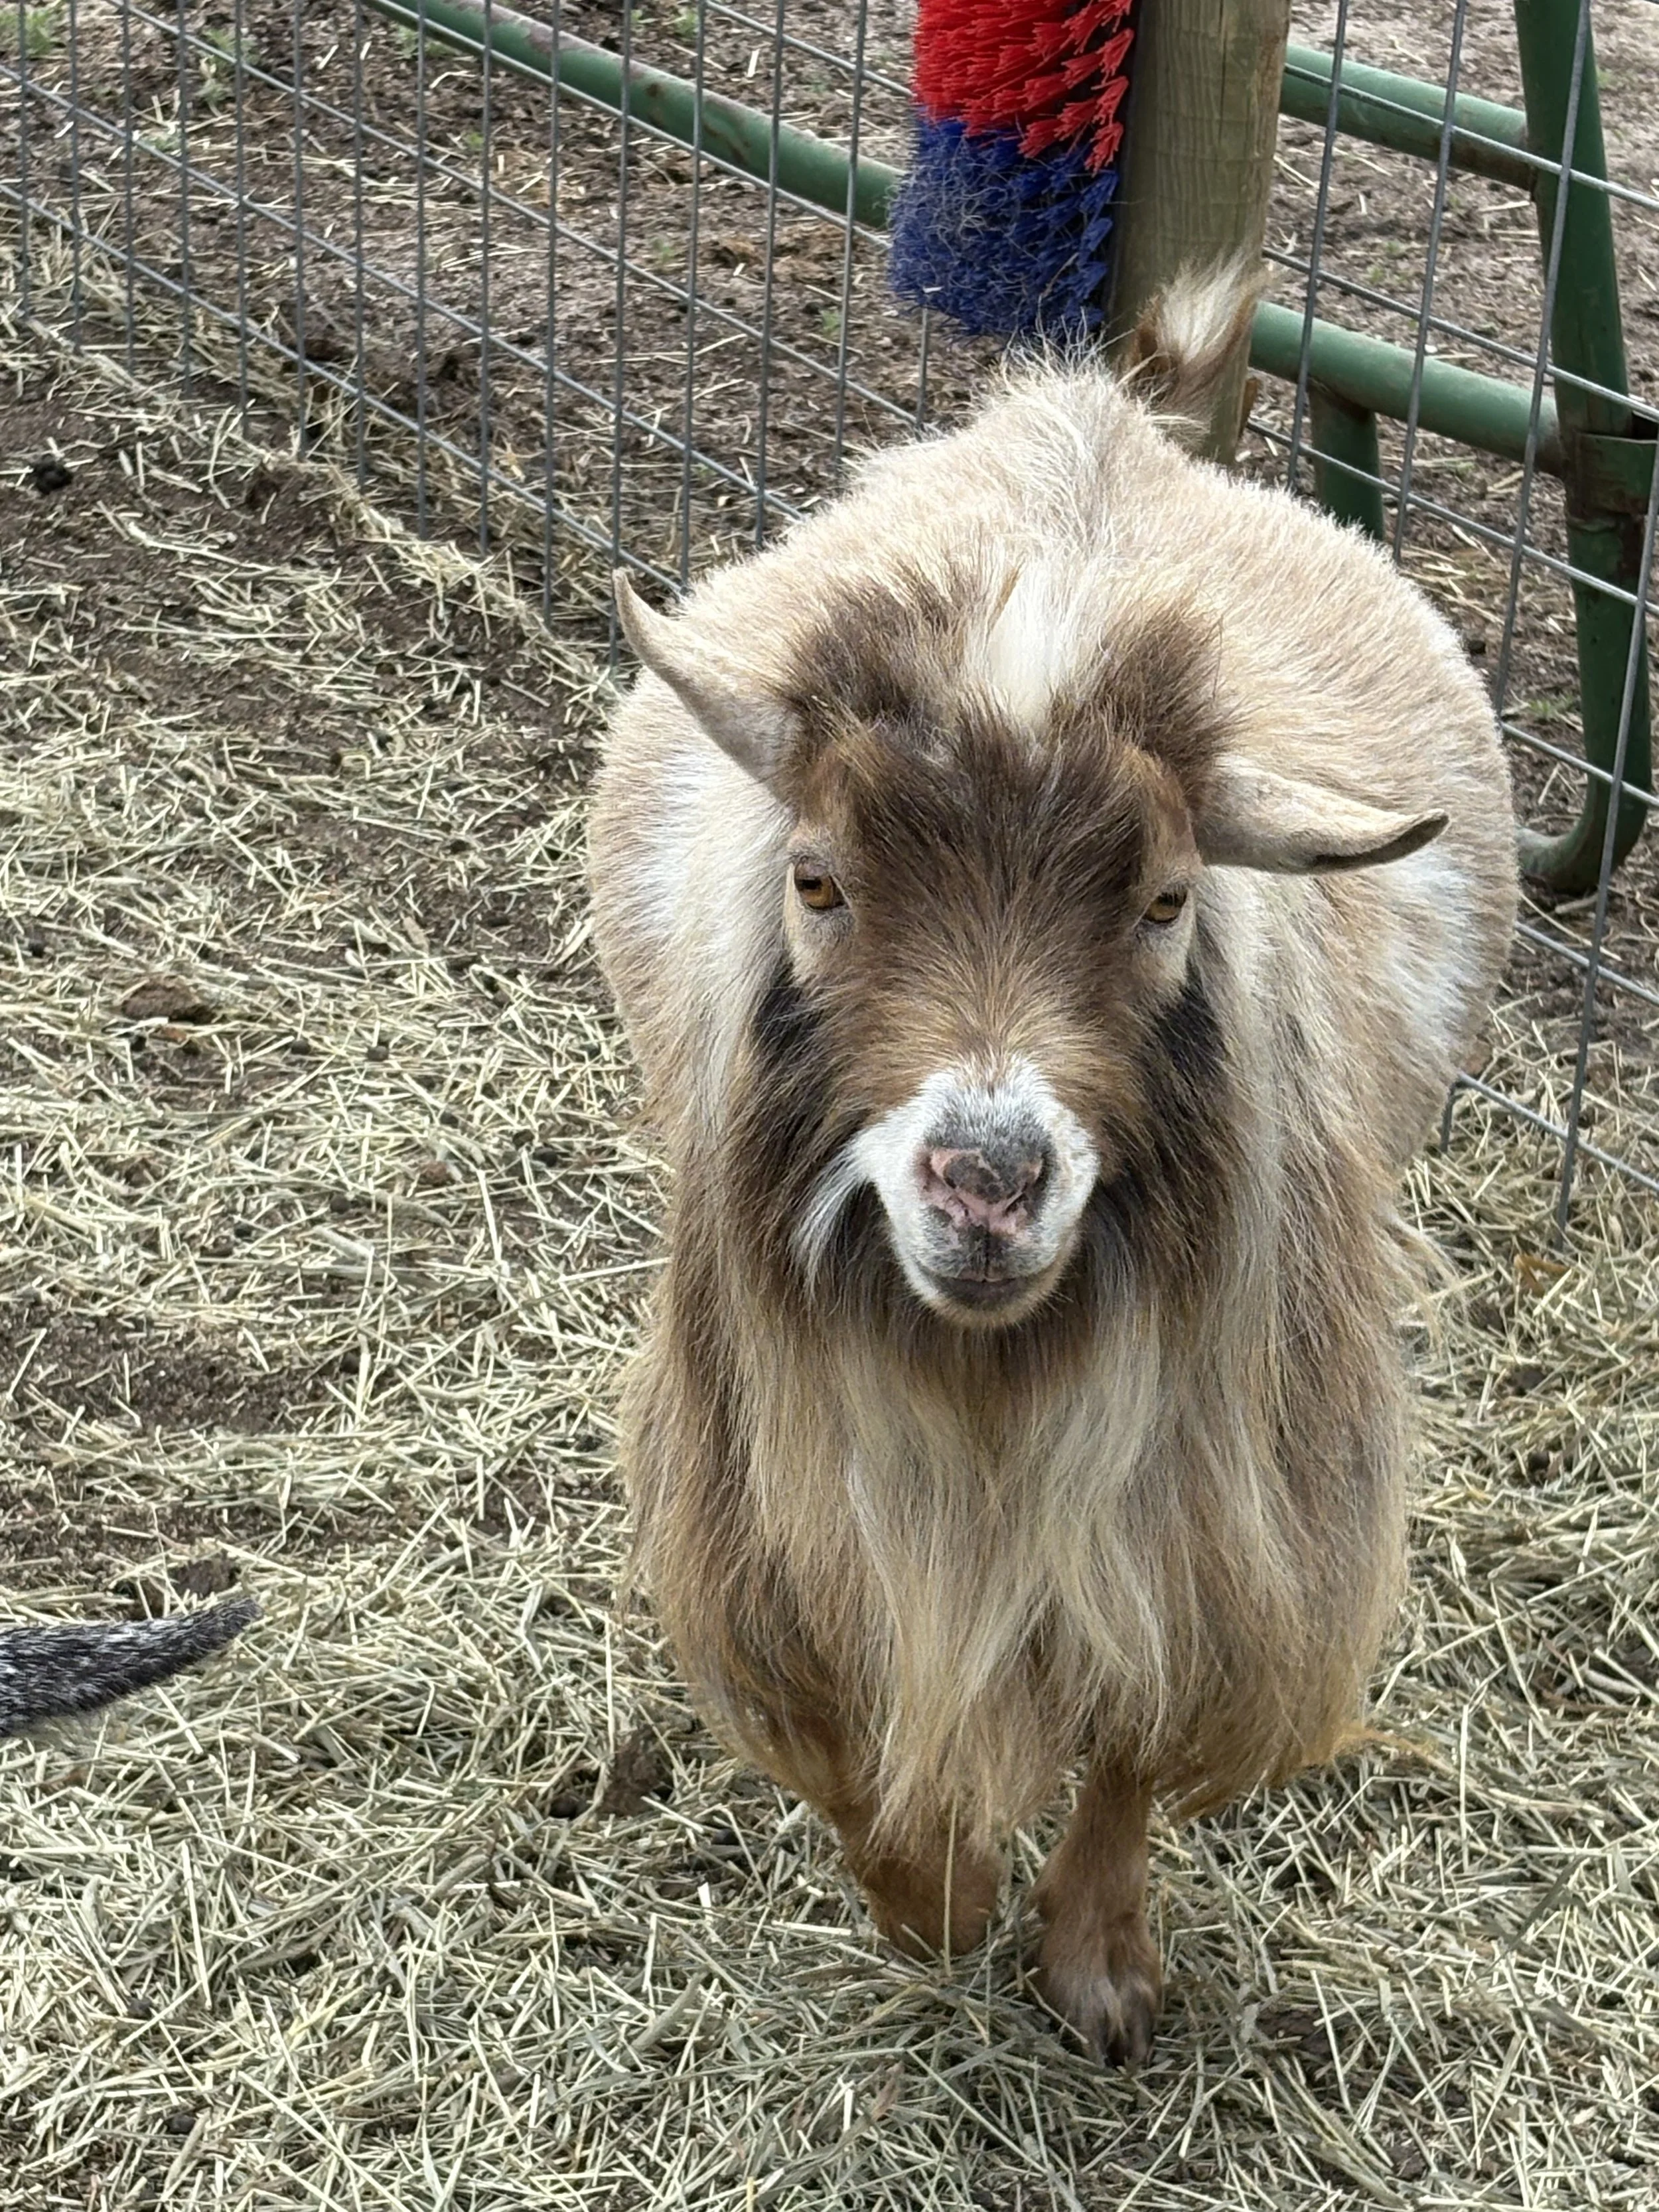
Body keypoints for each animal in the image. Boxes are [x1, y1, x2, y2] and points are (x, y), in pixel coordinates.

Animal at [588, 267, 1517, 2065]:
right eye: (816, 877)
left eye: (1164, 899)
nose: (985, 1181)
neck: (990, 1374)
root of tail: (1088, 417)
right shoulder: (764, 1496)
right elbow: (857, 1739)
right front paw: (933, 1902)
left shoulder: (1226, 1511)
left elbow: (1137, 1724)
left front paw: (1095, 1966)